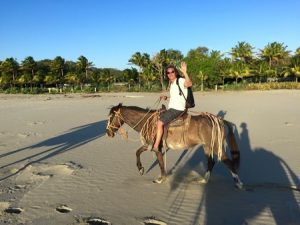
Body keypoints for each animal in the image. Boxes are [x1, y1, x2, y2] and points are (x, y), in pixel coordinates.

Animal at [106, 103, 243, 188]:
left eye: (111, 117)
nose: (108, 132)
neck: (148, 121)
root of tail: (219, 120)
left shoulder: (156, 147)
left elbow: (160, 163)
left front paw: (160, 178)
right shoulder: (152, 146)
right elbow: (138, 152)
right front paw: (141, 169)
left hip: (215, 146)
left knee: (228, 162)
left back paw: (239, 184)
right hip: (207, 146)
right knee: (211, 162)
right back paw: (204, 180)